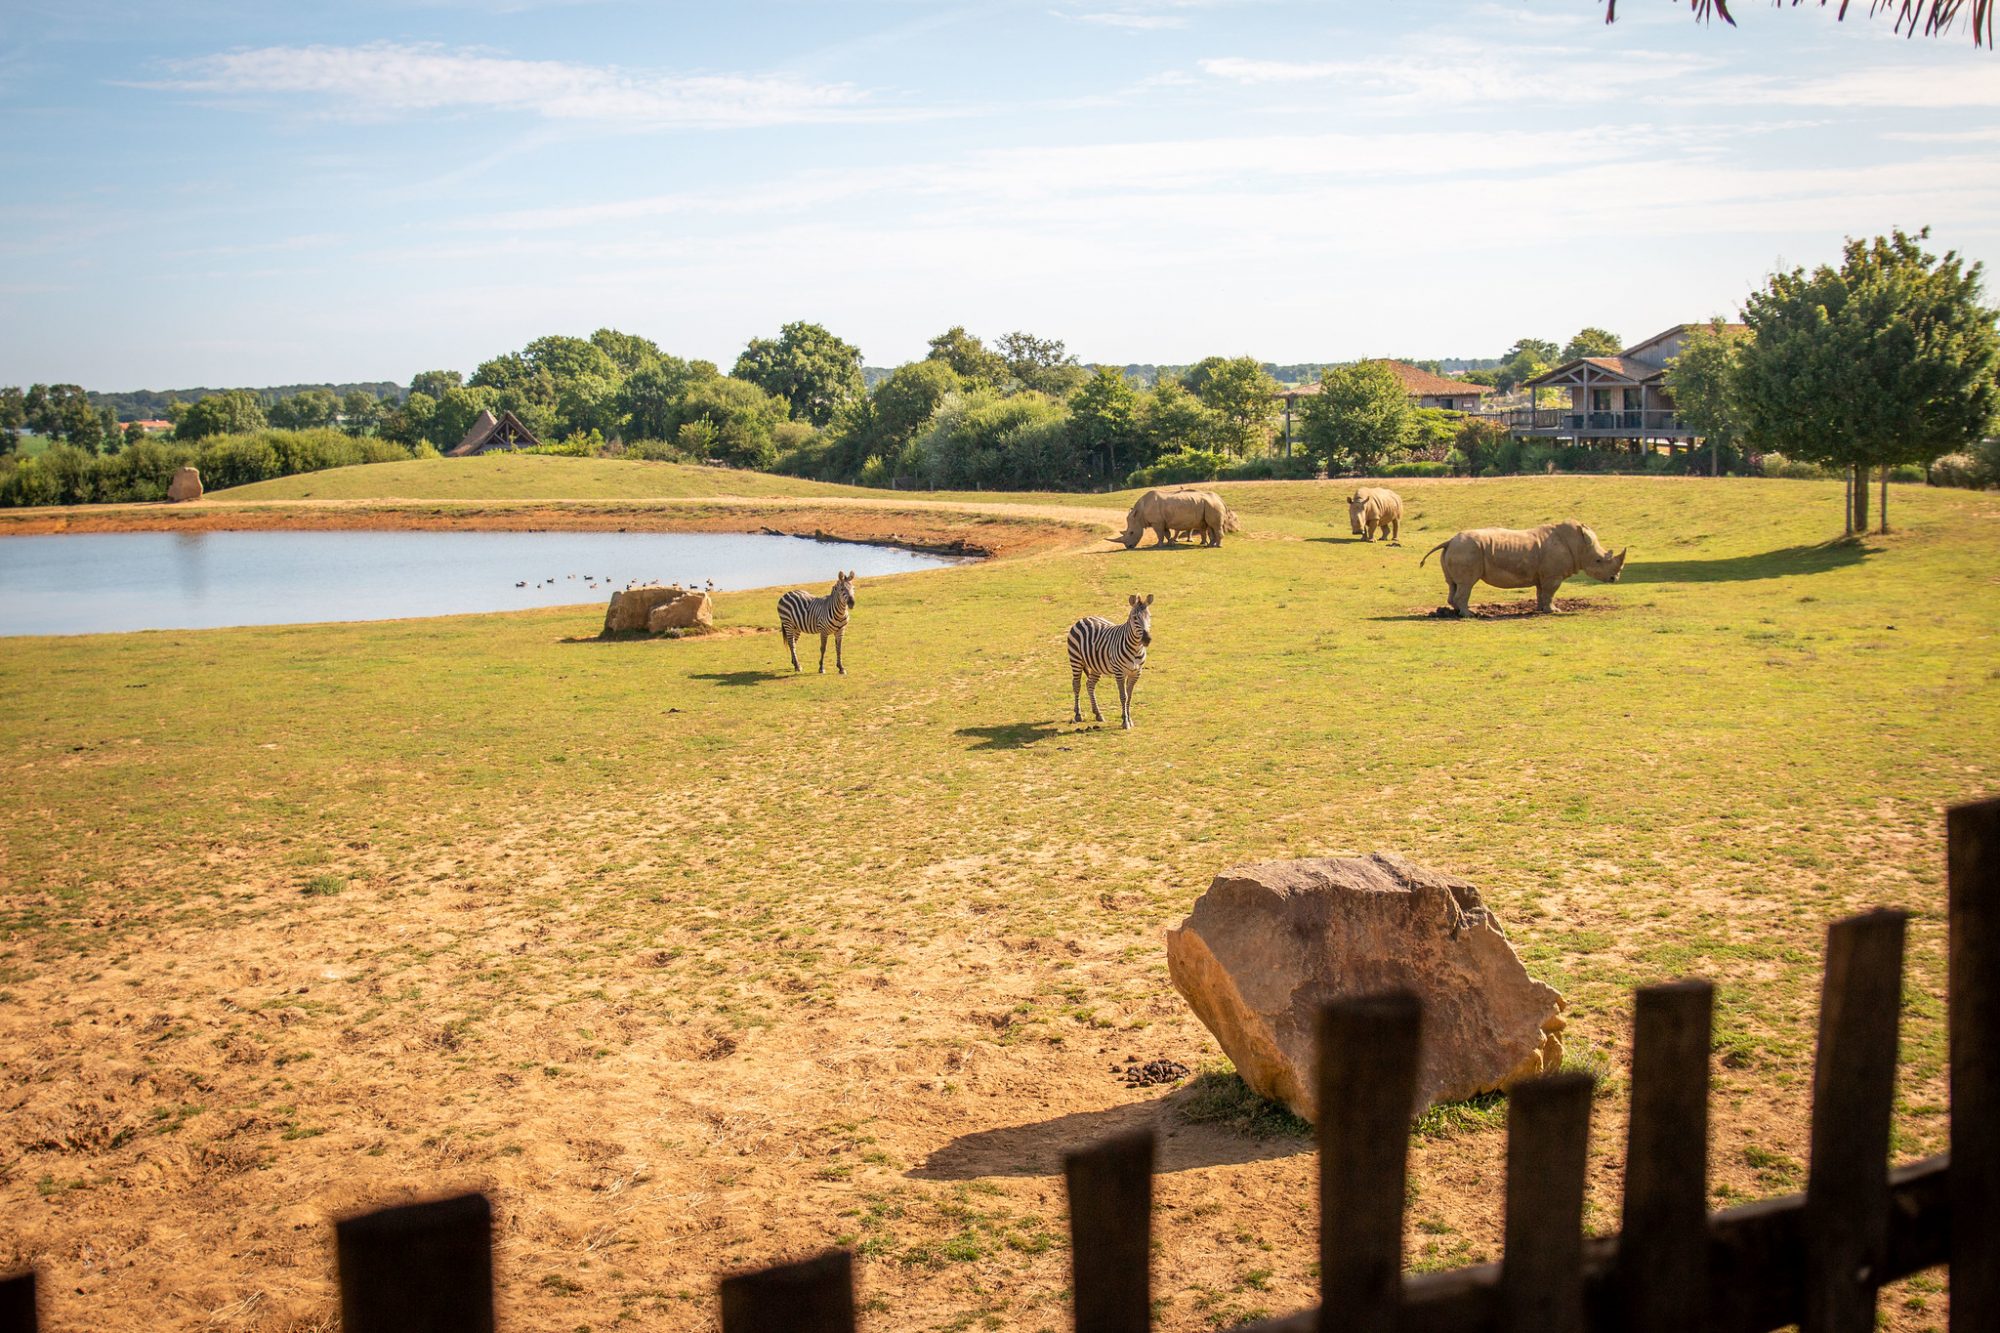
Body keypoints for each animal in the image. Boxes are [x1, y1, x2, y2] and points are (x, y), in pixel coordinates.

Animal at [1064, 592, 1160, 728]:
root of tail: (1084, 618)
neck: (1136, 649)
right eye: (1135, 618)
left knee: (1090, 685)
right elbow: (1123, 696)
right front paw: (1125, 721)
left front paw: (1129, 719)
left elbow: (1129, 696)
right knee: (1076, 685)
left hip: (1096, 665)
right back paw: (1078, 714)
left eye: (1149, 616)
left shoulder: (1136, 673)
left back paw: (1098, 714)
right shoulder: (1119, 672)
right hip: (1075, 660)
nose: (1147, 639)